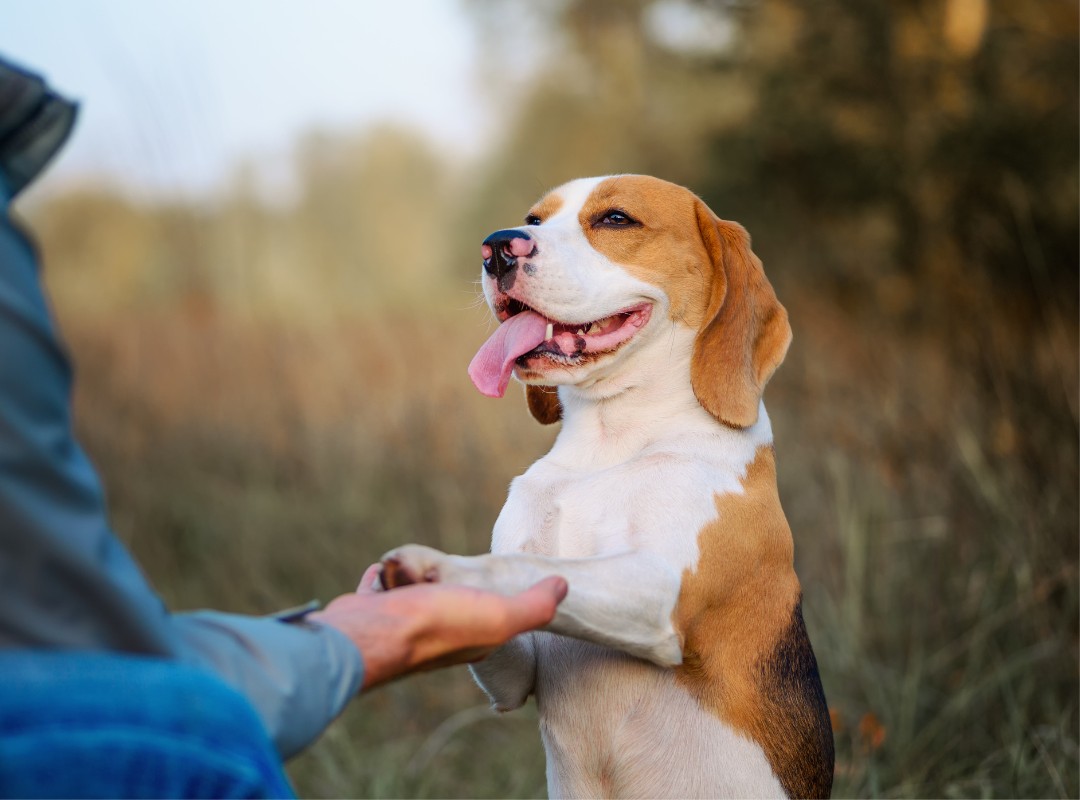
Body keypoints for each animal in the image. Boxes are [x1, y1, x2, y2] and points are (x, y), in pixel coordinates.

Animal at [380, 175, 833, 798]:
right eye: (534, 218)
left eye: (616, 219)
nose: (496, 248)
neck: (611, 441)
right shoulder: (517, 672)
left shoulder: (657, 591)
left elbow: (527, 567)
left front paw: (440, 568)